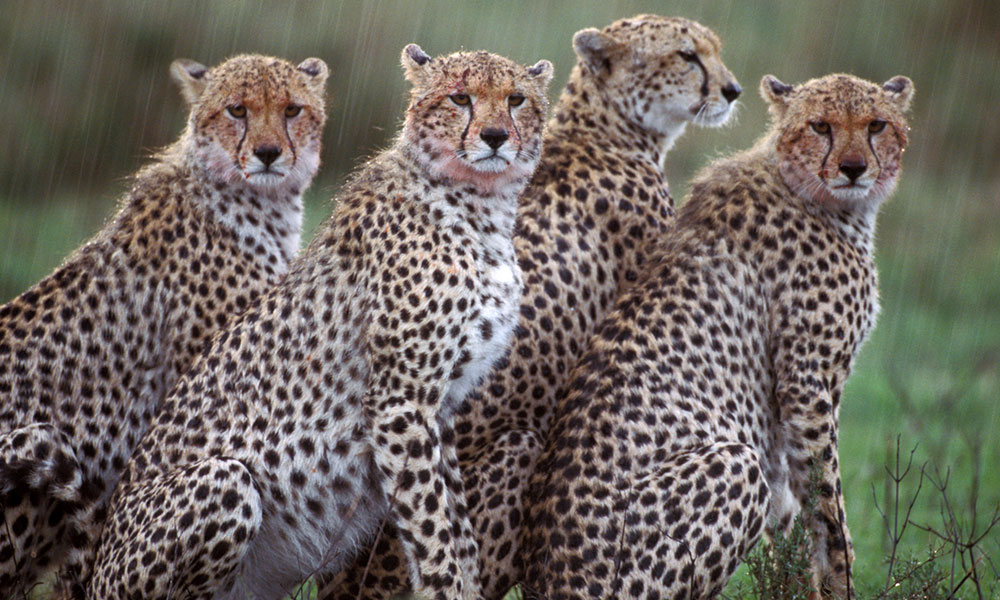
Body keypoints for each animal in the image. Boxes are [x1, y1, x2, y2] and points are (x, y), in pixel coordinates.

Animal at [84, 44, 554, 600]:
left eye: (516, 99)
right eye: (460, 98)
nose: (496, 136)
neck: (481, 202)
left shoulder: (440, 408)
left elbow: (457, 527)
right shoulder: (399, 402)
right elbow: (433, 528)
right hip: (225, 481)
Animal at [519, 72, 914, 599]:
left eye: (876, 125)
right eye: (820, 125)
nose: (853, 168)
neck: (804, 186)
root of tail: (548, 578)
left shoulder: (782, 410)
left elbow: (788, 518)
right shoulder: (807, 384)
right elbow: (827, 506)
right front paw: (839, 579)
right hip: (734, 465)